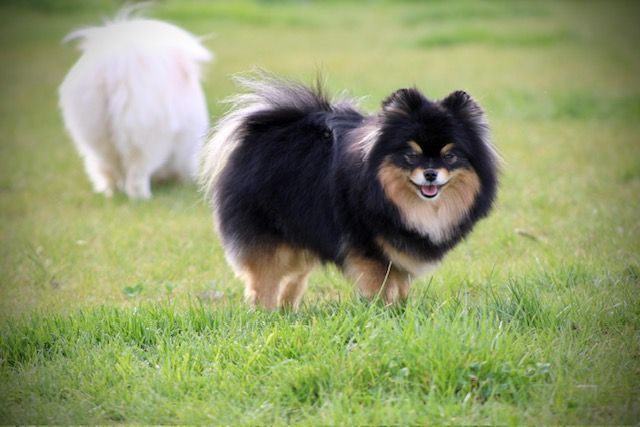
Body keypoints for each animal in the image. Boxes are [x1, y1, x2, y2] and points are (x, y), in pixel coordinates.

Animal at [59, 13, 212, 200]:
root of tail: (118, 66)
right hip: (146, 141)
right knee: (137, 173)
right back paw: (143, 197)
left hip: (94, 133)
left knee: (106, 167)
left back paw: (111, 193)